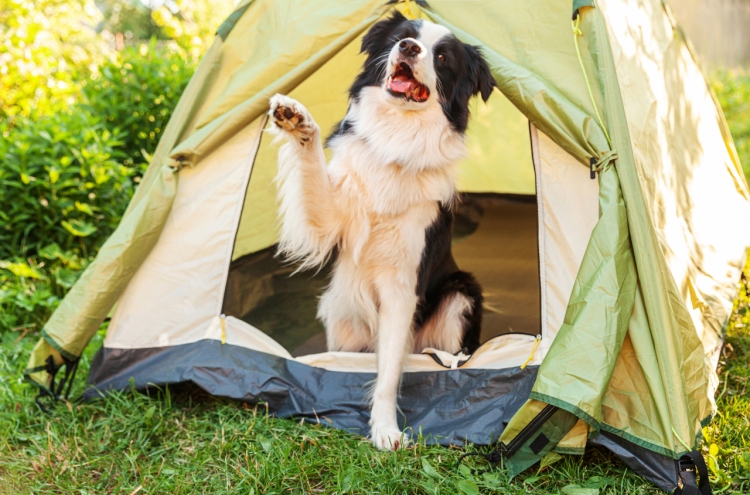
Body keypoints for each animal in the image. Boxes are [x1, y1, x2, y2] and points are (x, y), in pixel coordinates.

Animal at [268, 10, 496, 454]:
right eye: (401, 37)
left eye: (442, 57)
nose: (408, 49)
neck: (398, 134)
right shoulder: (329, 219)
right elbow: (312, 169)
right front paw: (296, 118)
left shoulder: (402, 284)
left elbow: (390, 368)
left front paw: (386, 430)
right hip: (341, 316)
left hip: (460, 295)